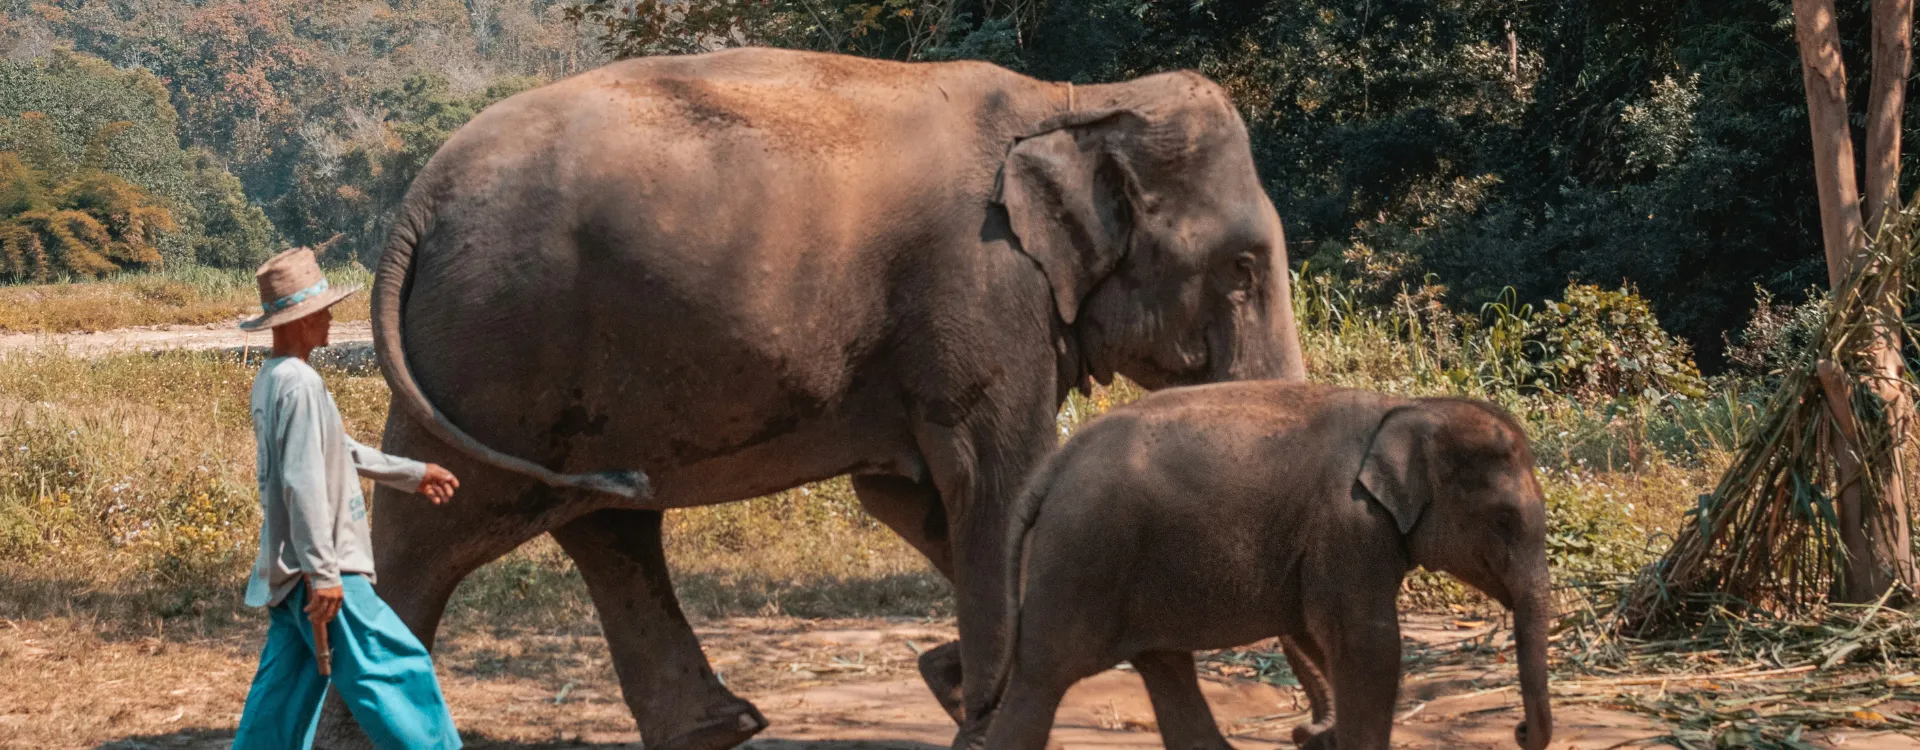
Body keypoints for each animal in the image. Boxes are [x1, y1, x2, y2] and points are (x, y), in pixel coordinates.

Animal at [311, 47, 1309, 749]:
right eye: (1242, 268)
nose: (1306, 728)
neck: (1072, 100)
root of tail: (414, 208)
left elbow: (913, 495)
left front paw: (954, 682)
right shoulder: (982, 290)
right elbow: (996, 482)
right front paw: (977, 706)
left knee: (605, 520)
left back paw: (720, 731)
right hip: (497, 346)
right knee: (436, 526)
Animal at [970, 381, 1554, 750]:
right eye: (1504, 520)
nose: (1520, 732)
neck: (1409, 408)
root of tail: (1054, 466)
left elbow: (1320, 636)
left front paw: (1322, 737)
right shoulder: (1350, 526)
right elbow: (1367, 643)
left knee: (1165, 666)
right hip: (1082, 556)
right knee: (1042, 677)